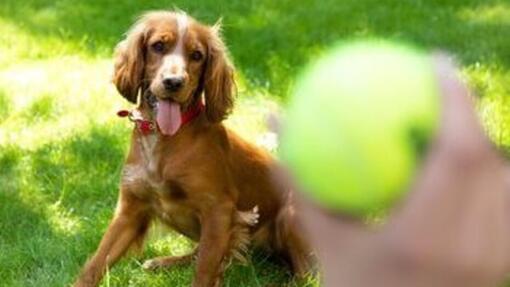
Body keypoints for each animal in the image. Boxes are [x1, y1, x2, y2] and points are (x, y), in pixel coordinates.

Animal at [71, 10, 310, 286]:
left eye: (197, 55)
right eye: (158, 46)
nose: (173, 82)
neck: (164, 138)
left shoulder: (218, 210)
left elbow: (205, 269)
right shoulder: (129, 210)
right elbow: (95, 264)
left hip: (292, 214)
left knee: (308, 274)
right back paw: (163, 262)